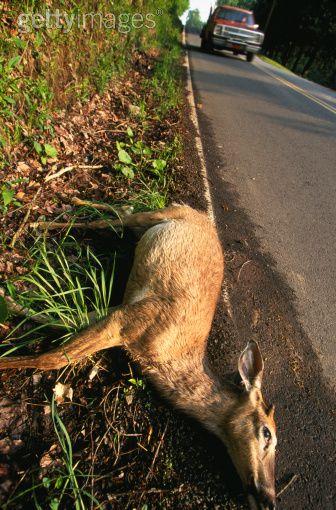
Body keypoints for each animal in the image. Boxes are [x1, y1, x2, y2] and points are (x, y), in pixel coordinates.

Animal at [0, 205, 276, 508]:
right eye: (267, 433)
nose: (270, 497)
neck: (164, 356)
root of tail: (199, 213)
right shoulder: (129, 318)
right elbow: (52, 358)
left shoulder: (119, 312)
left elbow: (61, 321)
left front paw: (10, 299)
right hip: (160, 215)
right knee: (111, 219)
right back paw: (41, 223)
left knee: (119, 214)